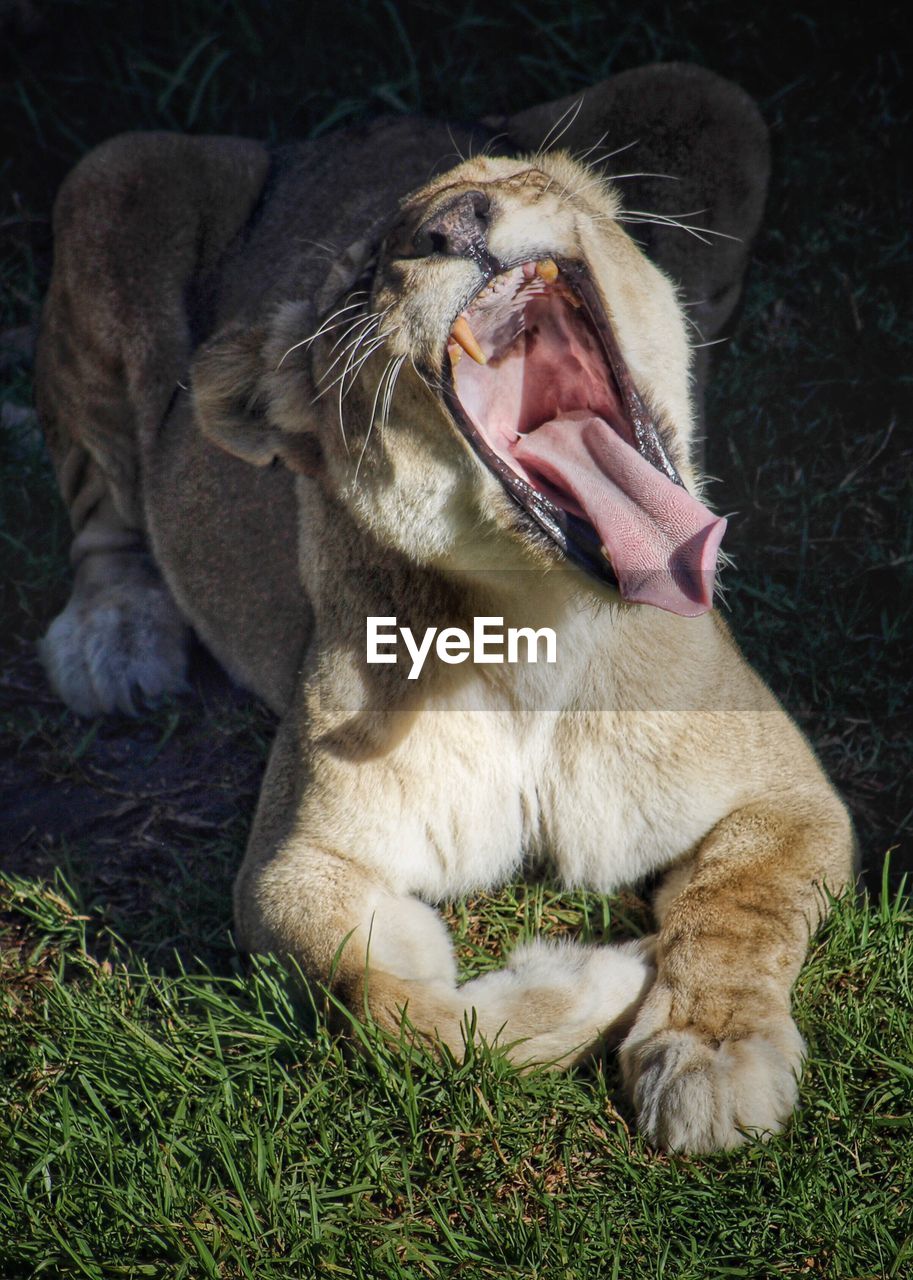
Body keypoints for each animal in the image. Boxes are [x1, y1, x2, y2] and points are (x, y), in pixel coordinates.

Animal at [32, 64, 850, 1157]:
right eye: (365, 277)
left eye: (508, 180)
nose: (456, 222)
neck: (545, 617)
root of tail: (363, 123)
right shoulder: (298, 863)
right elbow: (390, 1005)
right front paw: (599, 978)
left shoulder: (789, 795)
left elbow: (736, 907)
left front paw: (711, 1058)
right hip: (115, 173)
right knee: (100, 503)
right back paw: (112, 642)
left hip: (709, 97)